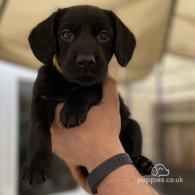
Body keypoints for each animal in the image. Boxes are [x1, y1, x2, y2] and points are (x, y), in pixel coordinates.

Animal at [20, 5, 153, 186]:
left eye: (104, 35)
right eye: (66, 34)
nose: (85, 61)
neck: (68, 83)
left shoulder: (99, 84)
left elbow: (87, 89)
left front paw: (72, 110)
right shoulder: (40, 98)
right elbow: (38, 130)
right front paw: (35, 165)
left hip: (132, 125)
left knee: (132, 151)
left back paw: (143, 163)